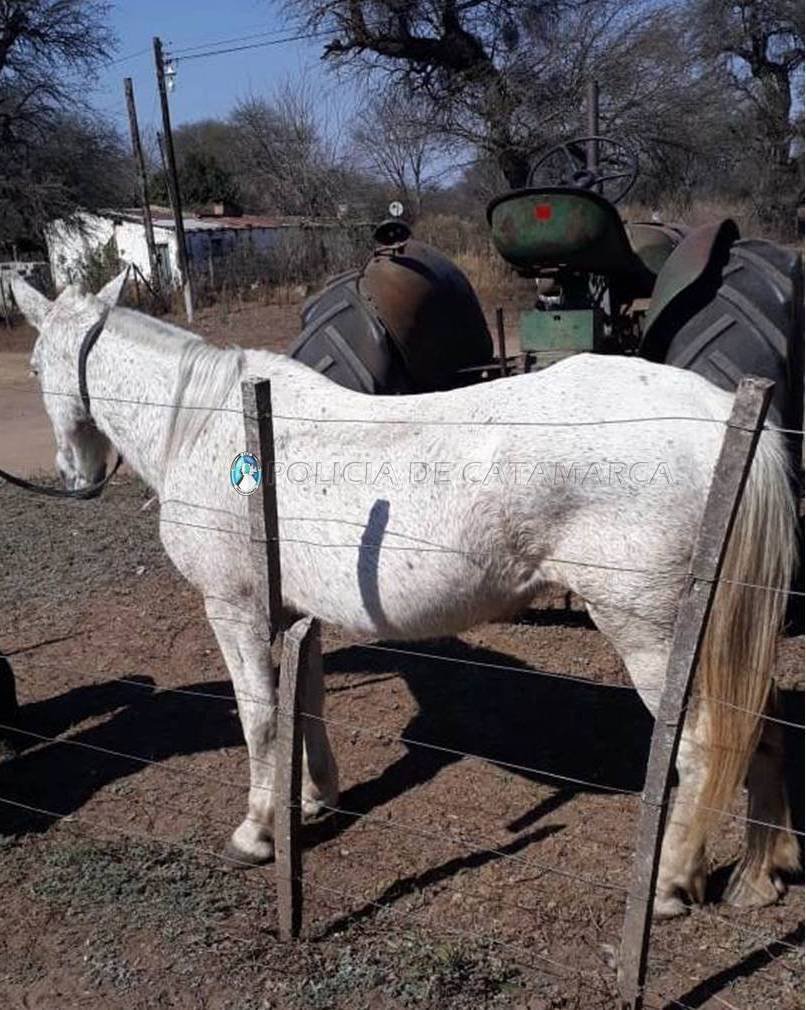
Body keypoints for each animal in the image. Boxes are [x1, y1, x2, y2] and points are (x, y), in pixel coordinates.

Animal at [12, 272, 799, 921]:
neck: (212, 425)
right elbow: (305, 705)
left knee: (704, 745)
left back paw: (669, 884)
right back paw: (758, 878)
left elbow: (260, 718)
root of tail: (727, 417)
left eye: (33, 366)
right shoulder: (300, 613)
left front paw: (256, 833)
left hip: (658, 637)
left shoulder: (232, 609)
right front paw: (313, 799)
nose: (75, 475)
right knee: (759, 725)